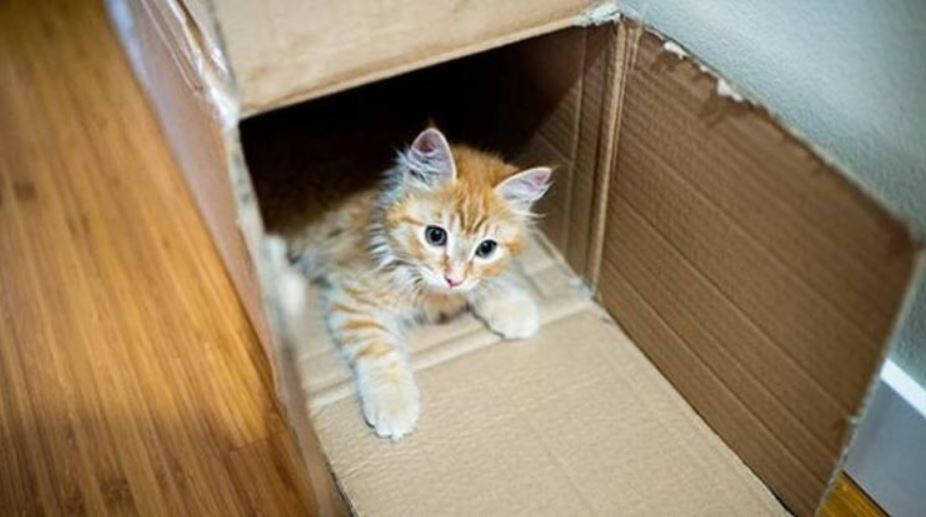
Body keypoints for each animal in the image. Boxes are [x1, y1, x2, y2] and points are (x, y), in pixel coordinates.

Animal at [287, 127, 552, 440]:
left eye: (486, 248)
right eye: (435, 236)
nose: (453, 278)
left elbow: (486, 283)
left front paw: (513, 307)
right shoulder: (352, 298)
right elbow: (379, 349)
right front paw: (392, 401)